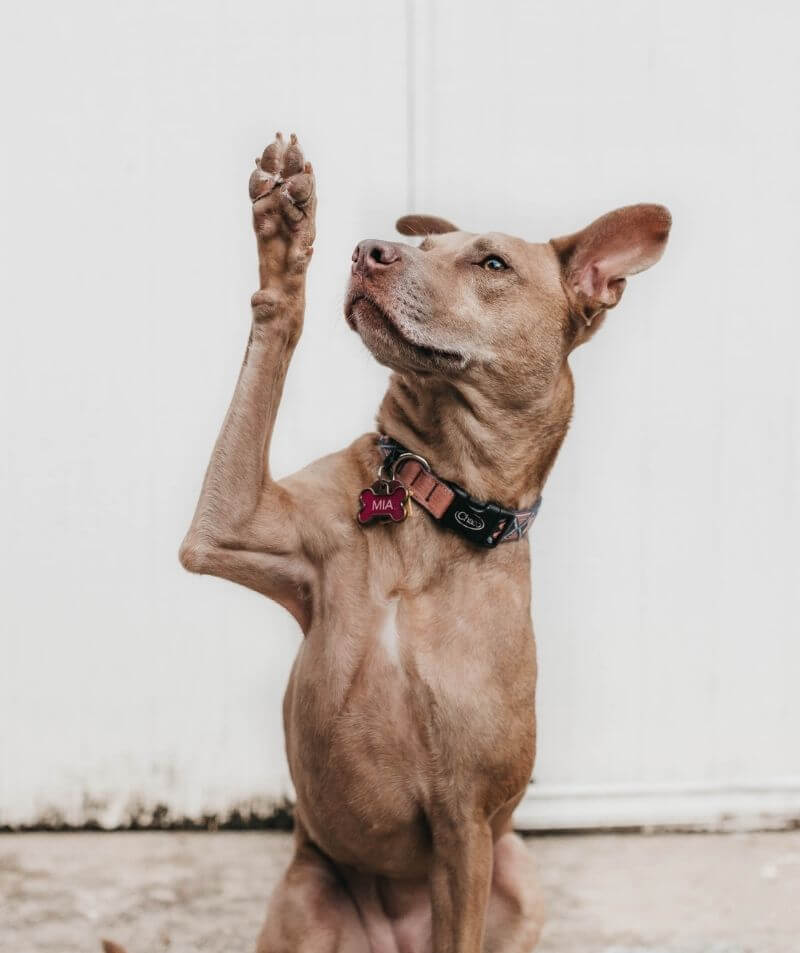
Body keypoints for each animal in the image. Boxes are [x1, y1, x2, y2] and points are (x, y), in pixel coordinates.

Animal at [175, 134, 668, 952]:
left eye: (492, 262)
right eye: (424, 245)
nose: (369, 250)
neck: (430, 499)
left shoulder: (465, 824)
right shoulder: (224, 527)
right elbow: (273, 331)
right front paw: (285, 236)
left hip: (516, 872)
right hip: (305, 896)